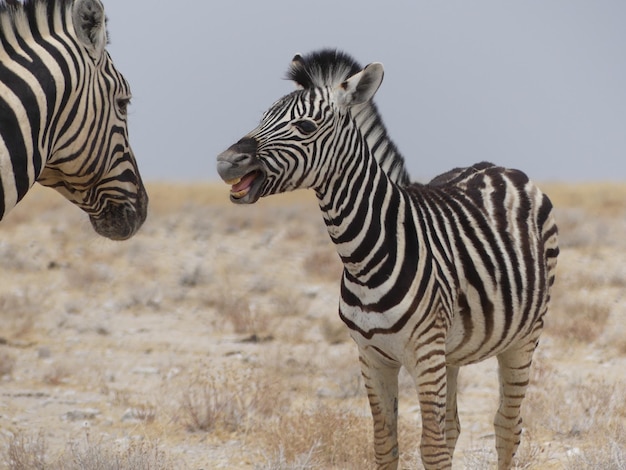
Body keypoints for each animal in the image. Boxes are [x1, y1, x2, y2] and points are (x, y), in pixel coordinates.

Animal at [217, 49, 560, 468]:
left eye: (304, 126)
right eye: (264, 116)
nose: (225, 161)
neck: (363, 257)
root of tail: (498, 167)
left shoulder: (424, 354)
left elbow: (431, 448)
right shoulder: (372, 357)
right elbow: (386, 443)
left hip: (524, 337)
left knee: (507, 427)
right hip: (451, 351)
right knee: (454, 427)